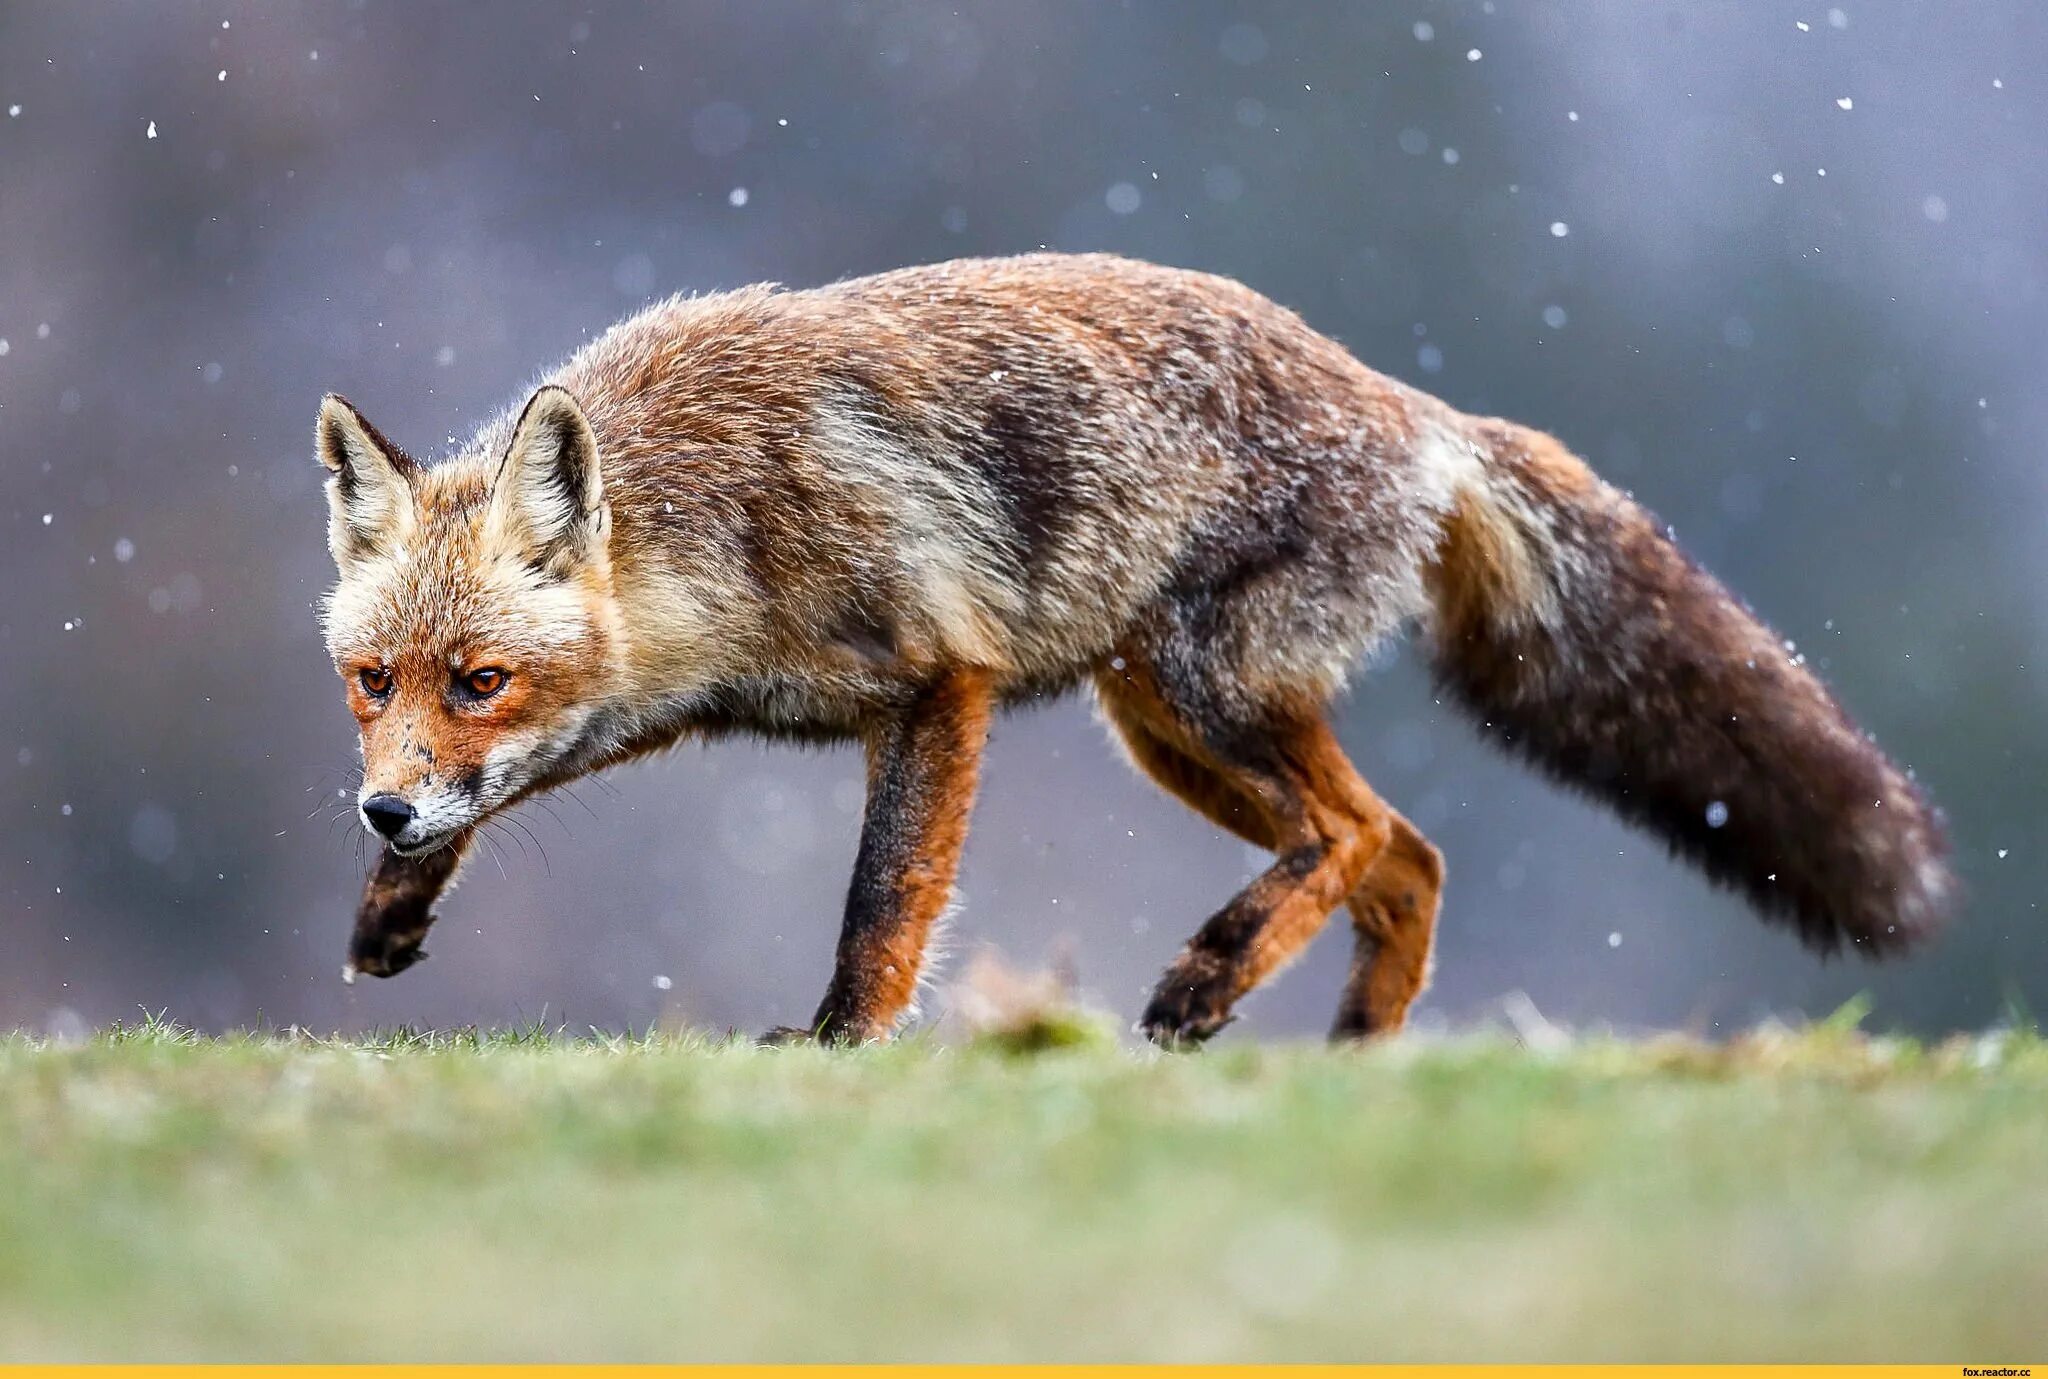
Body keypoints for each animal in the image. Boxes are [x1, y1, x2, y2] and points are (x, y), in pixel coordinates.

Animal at [315, 249, 1949, 1045]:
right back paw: (1355, 1058)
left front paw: (841, 1042)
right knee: (1408, 852)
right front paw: (393, 903)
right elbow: (506, 795)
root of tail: (1417, 407)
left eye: (481, 677)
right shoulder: (637, 706)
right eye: (372, 682)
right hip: (1160, 727)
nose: (378, 808)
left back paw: (1212, 981)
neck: (718, 523)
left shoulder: (937, 679)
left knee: (1359, 833)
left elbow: (883, 899)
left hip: (1197, 692)